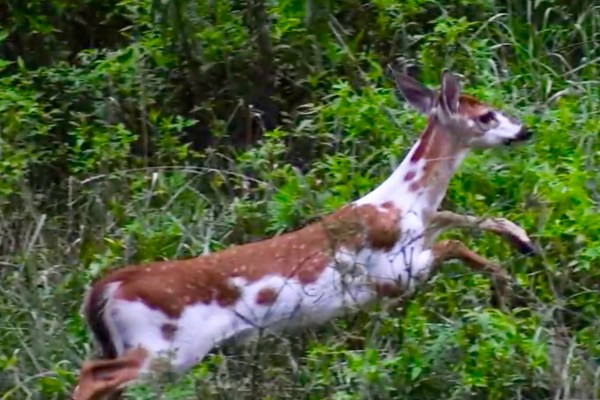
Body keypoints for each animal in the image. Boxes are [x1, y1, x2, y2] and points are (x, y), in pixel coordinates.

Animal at [74, 70, 536, 398]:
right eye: (486, 115)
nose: (525, 130)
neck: (403, 203)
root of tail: (104, 289)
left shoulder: (415, 241)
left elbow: (460, 218)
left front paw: (520, 247)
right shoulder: (393, 273)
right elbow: (454, 242)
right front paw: (504, 283)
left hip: (134, 346)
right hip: (165, 346)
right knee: (92, 377)